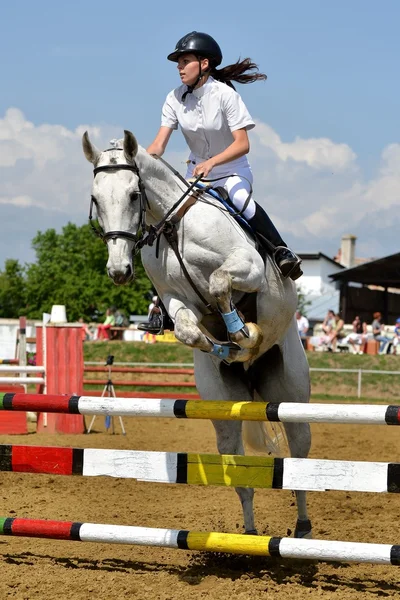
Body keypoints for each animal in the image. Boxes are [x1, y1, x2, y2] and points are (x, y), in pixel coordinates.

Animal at [82, 129, 312, 536]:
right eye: (96, 199)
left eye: (133, 194)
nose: (119, 271)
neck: (174, 226)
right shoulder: (174, 299)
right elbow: (189, 332)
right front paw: (226, 347)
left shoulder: (248, 269)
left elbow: (220, 284)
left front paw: (244, 334)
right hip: (225, 410)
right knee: (239, 471)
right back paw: (249, 536)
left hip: (292, 397)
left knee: (299, 455)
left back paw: (302, 530)